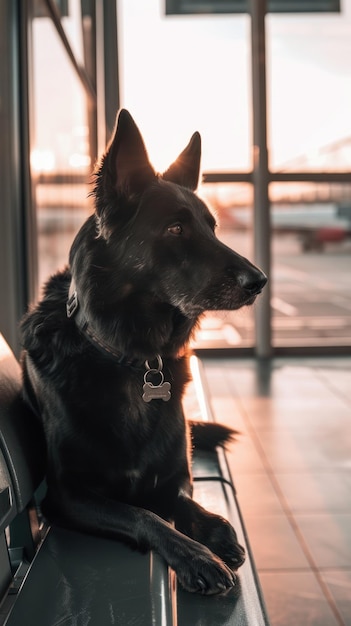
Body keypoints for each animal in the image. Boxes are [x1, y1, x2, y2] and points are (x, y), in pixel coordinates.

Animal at [21, 109, 266, 592]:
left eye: (213, 227)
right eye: (175, 228)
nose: (259, 281)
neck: (132, 357)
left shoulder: (176, 478)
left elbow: (187, 505)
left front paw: (215, 532)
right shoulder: (67, 494)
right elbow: (143, 514)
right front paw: (196, 556)